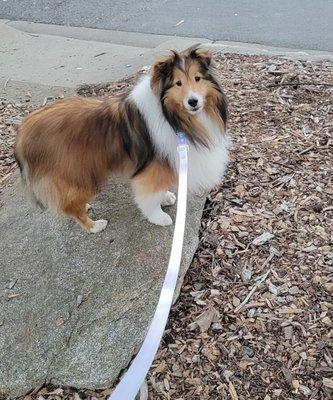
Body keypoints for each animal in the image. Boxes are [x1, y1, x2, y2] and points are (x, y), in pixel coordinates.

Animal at [14, 47, 228, 233]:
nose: (193, 102)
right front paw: (158, 216)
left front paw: (166, 197)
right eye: (178, 83)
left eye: (197, 78)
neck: (172, 115)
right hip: (77, 173)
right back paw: (94, 225)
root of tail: (23, 131)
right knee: (68, 206)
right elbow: (151, 195)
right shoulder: (152, 167)